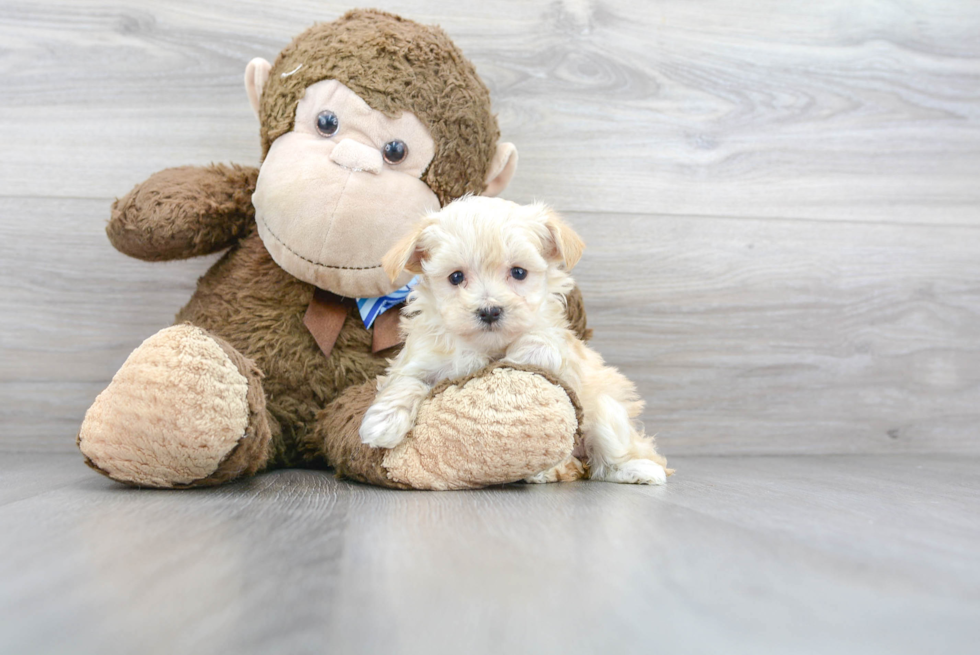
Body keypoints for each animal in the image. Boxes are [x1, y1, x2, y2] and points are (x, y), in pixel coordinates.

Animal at [360, 193, 672, 482]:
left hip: (605, 412)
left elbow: (544, 344)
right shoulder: (419, 358)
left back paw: (639, 470)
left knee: (614, 452)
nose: (489, 311)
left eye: (519, 272)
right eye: (456, 277)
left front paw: (520, 352)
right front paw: (383, 422)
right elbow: (407, 382)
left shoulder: (564, 351)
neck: (487, 345)